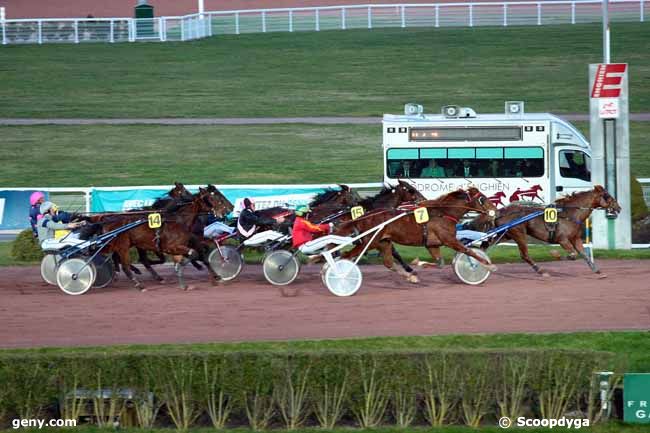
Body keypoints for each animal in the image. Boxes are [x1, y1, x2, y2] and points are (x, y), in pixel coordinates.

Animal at [332, 186, 494, 282]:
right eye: (483, 199)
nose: (494, 210)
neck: (443, 213)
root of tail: (363, 217)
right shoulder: (449, 240)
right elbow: (468, 251)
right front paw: (489, 266)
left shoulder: (432, 244)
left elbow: (440, 263)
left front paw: (417, 265)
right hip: (369, 242)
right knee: (346, 256)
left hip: (383, 242)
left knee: (388, 263)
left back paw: (410, 277)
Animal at [466, 184, 616, 276]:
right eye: (607, 196)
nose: (618, 207)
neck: (569, 213)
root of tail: (499, 211)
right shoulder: (562, 239)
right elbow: (572, 255)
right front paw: (555, 254)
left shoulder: (575, 238)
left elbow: (583, 254)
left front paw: (597, 270)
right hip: (519, 234)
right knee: (524, 255)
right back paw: (540, 270)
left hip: (506, 234)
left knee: (486, 245)